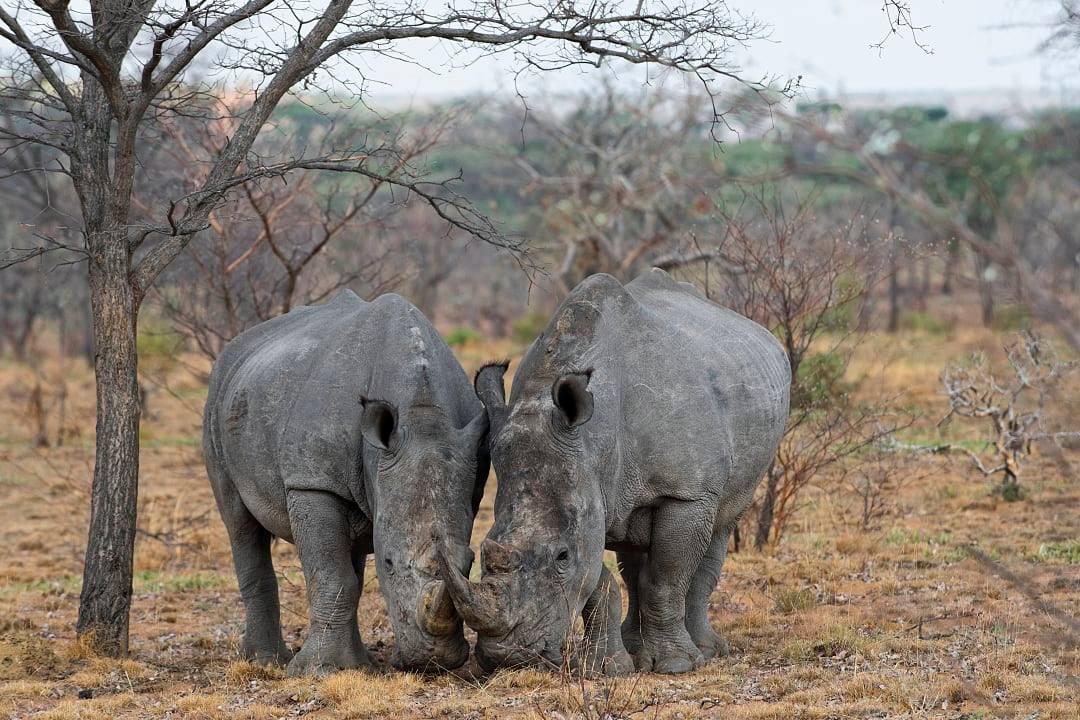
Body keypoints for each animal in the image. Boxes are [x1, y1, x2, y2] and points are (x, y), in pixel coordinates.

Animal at [203, 290, 489, 676]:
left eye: (470, 561)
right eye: (388, 563)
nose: (434, 660)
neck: (422, 413)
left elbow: (347, 576)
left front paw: (352, 668)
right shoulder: (312, 482)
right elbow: (331, 577)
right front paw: (315, 671)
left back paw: (356, 662)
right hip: (218, 399)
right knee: (239, 522)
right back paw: (265, 661)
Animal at [439, 269, 790, 675]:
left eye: (561, 557)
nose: (506, 657)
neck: (592, 441)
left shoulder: (686, 494)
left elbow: (665, 579)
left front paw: (676, 665)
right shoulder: (591, 491)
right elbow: (598, 582)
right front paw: (607, 669)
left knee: (721, 525)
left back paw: (707, 650)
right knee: (634, 560)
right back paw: (639, 651)